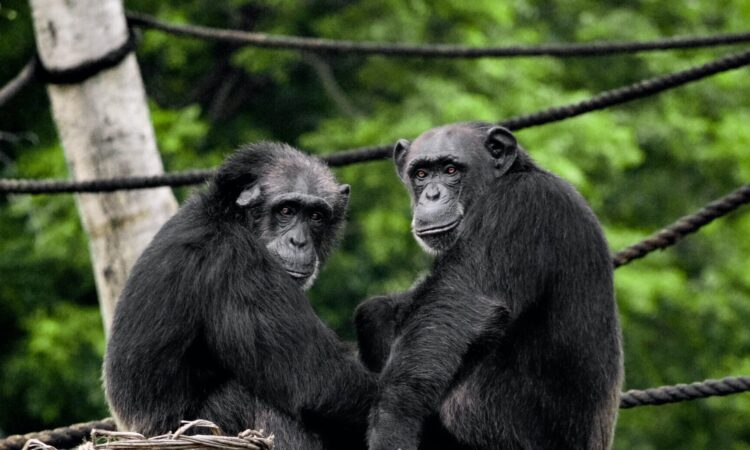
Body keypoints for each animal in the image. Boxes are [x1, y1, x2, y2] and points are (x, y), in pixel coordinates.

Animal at [105, 142, 375, 450]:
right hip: (199, 430)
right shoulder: (238, 265)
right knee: (258, 399)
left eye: (316, 216)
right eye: (286, 210)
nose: (299, 241)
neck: (231, 217)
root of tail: (132, 434)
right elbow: (321, 381)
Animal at [355, 123, 623, 450]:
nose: (432, 195)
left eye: (450, 169)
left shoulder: (516, 207)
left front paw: (393, 422)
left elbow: (456, 308)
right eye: (421, 174)